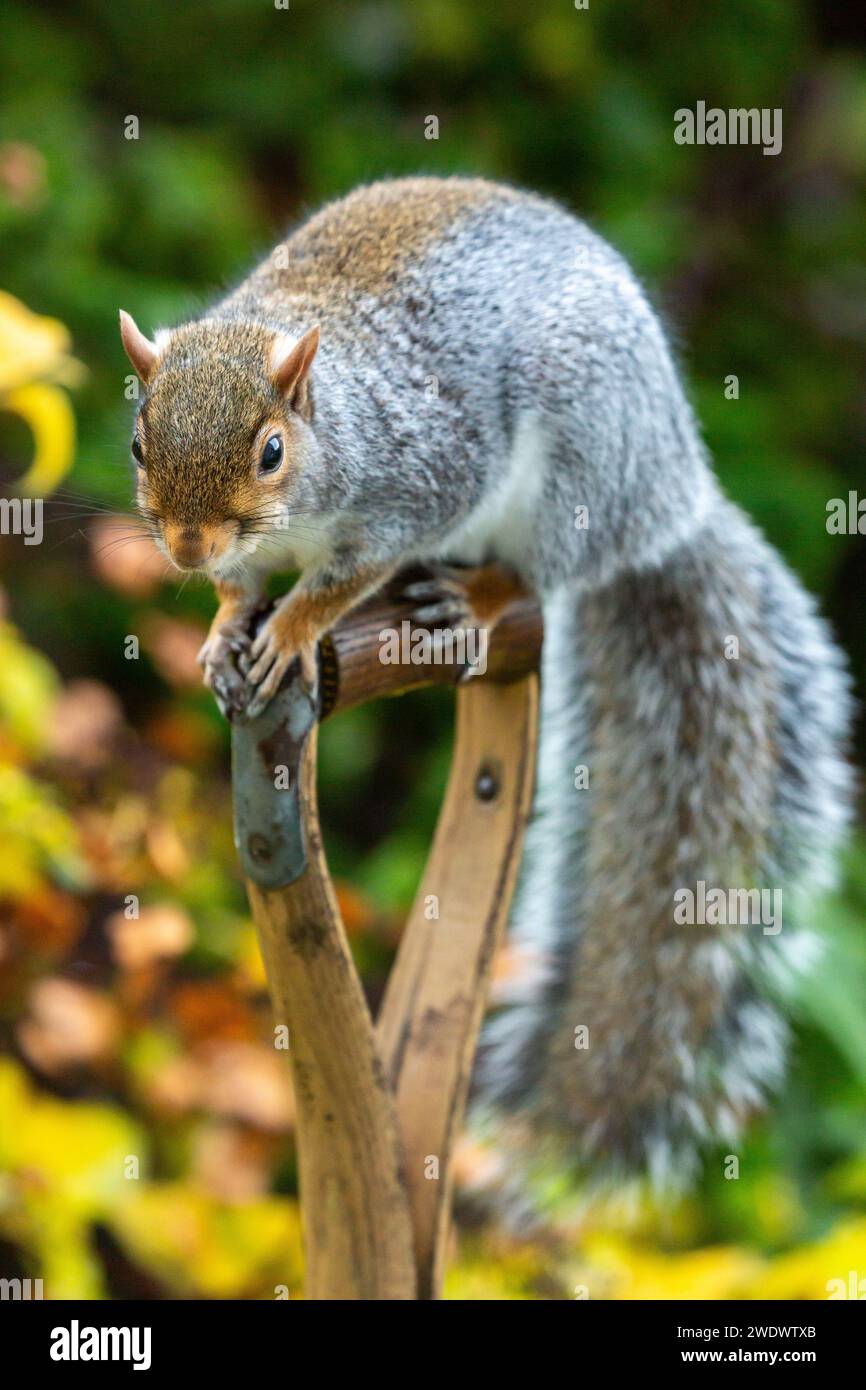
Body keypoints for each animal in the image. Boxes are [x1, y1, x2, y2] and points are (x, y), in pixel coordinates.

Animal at [121, 176, 852, 1181]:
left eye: (271, 450)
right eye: (140, 442)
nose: (188, 545)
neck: (337, 419)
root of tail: (666, 501)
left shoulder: (425, 476)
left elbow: (346, 580)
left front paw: (296, 627)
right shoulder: (254, 550)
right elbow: (243, 588)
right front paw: (228, 628)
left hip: (574, 467)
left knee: (542, 569)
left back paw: (481, 593)